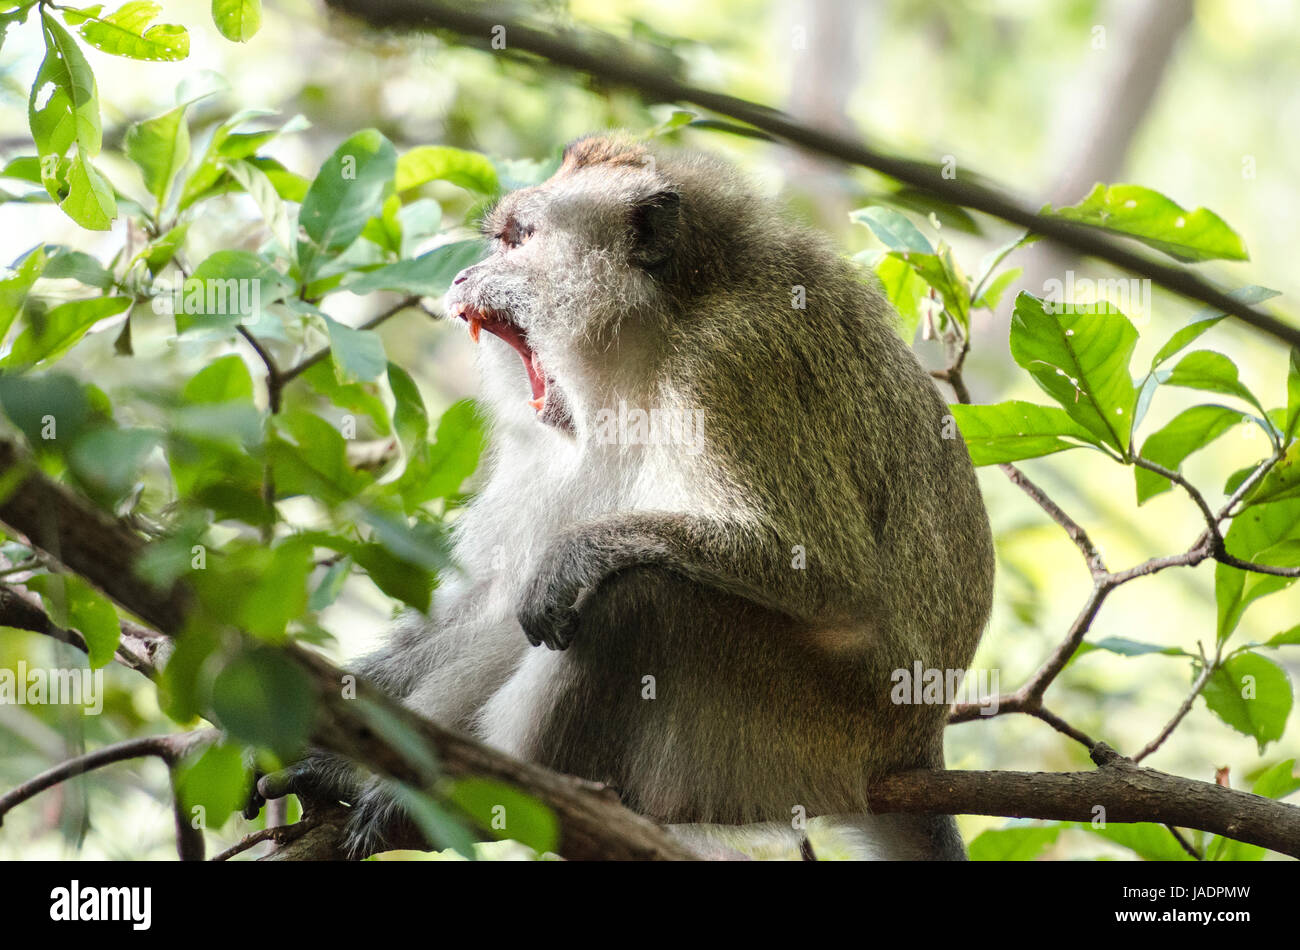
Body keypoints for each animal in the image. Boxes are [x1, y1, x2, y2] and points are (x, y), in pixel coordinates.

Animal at [263, 133, 995, 860]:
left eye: (518, 239)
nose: (463, 278)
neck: (657, 332)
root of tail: (911, 747)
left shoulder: (727, 366)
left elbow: (828, 570)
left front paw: (576, 556)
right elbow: (488, 601)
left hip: (795, 736)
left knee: (641, 603)